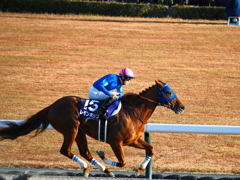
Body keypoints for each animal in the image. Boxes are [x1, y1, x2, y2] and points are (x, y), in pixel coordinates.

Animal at [0, 80, 186, 177]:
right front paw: (103, 154)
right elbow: (122, 161)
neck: (133, 112)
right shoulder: (115, 142)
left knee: (84, 152)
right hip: (71, 129)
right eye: (169, 92)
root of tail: (52, 106)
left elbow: (150, 149)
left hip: (79, 132)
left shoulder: (133, 140)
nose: (181, 107)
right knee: (66, 150)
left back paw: (102, 170)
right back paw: (91, 168)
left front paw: (139, 169)